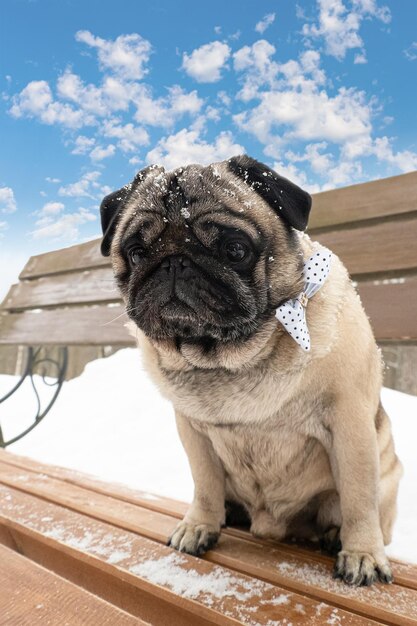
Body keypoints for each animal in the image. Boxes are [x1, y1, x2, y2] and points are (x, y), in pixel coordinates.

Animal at [99, 154, 402, 584]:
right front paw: (200, 525)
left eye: (235, 250)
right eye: (138, 252)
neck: (230, 356)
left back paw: (335, 535)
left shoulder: (350, 425)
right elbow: (205, 483)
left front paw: (362, 554)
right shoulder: (194, 434)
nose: (174, 262)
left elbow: (359, 496)